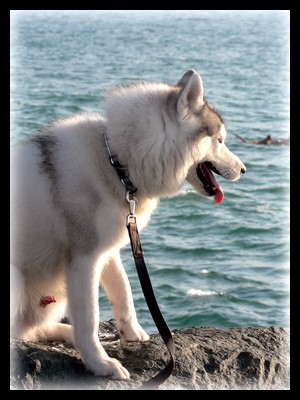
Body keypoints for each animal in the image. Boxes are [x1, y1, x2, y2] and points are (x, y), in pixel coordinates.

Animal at [10, 70, 246, 380]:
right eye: (219, 140)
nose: (244, 169)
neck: (117, 164)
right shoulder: (84, 260)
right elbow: (89, 317)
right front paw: (100, 363)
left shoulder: (109, 248)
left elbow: (123, 290)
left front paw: (132, 332)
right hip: (17, 279)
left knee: (30, 330)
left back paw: (66, 334)